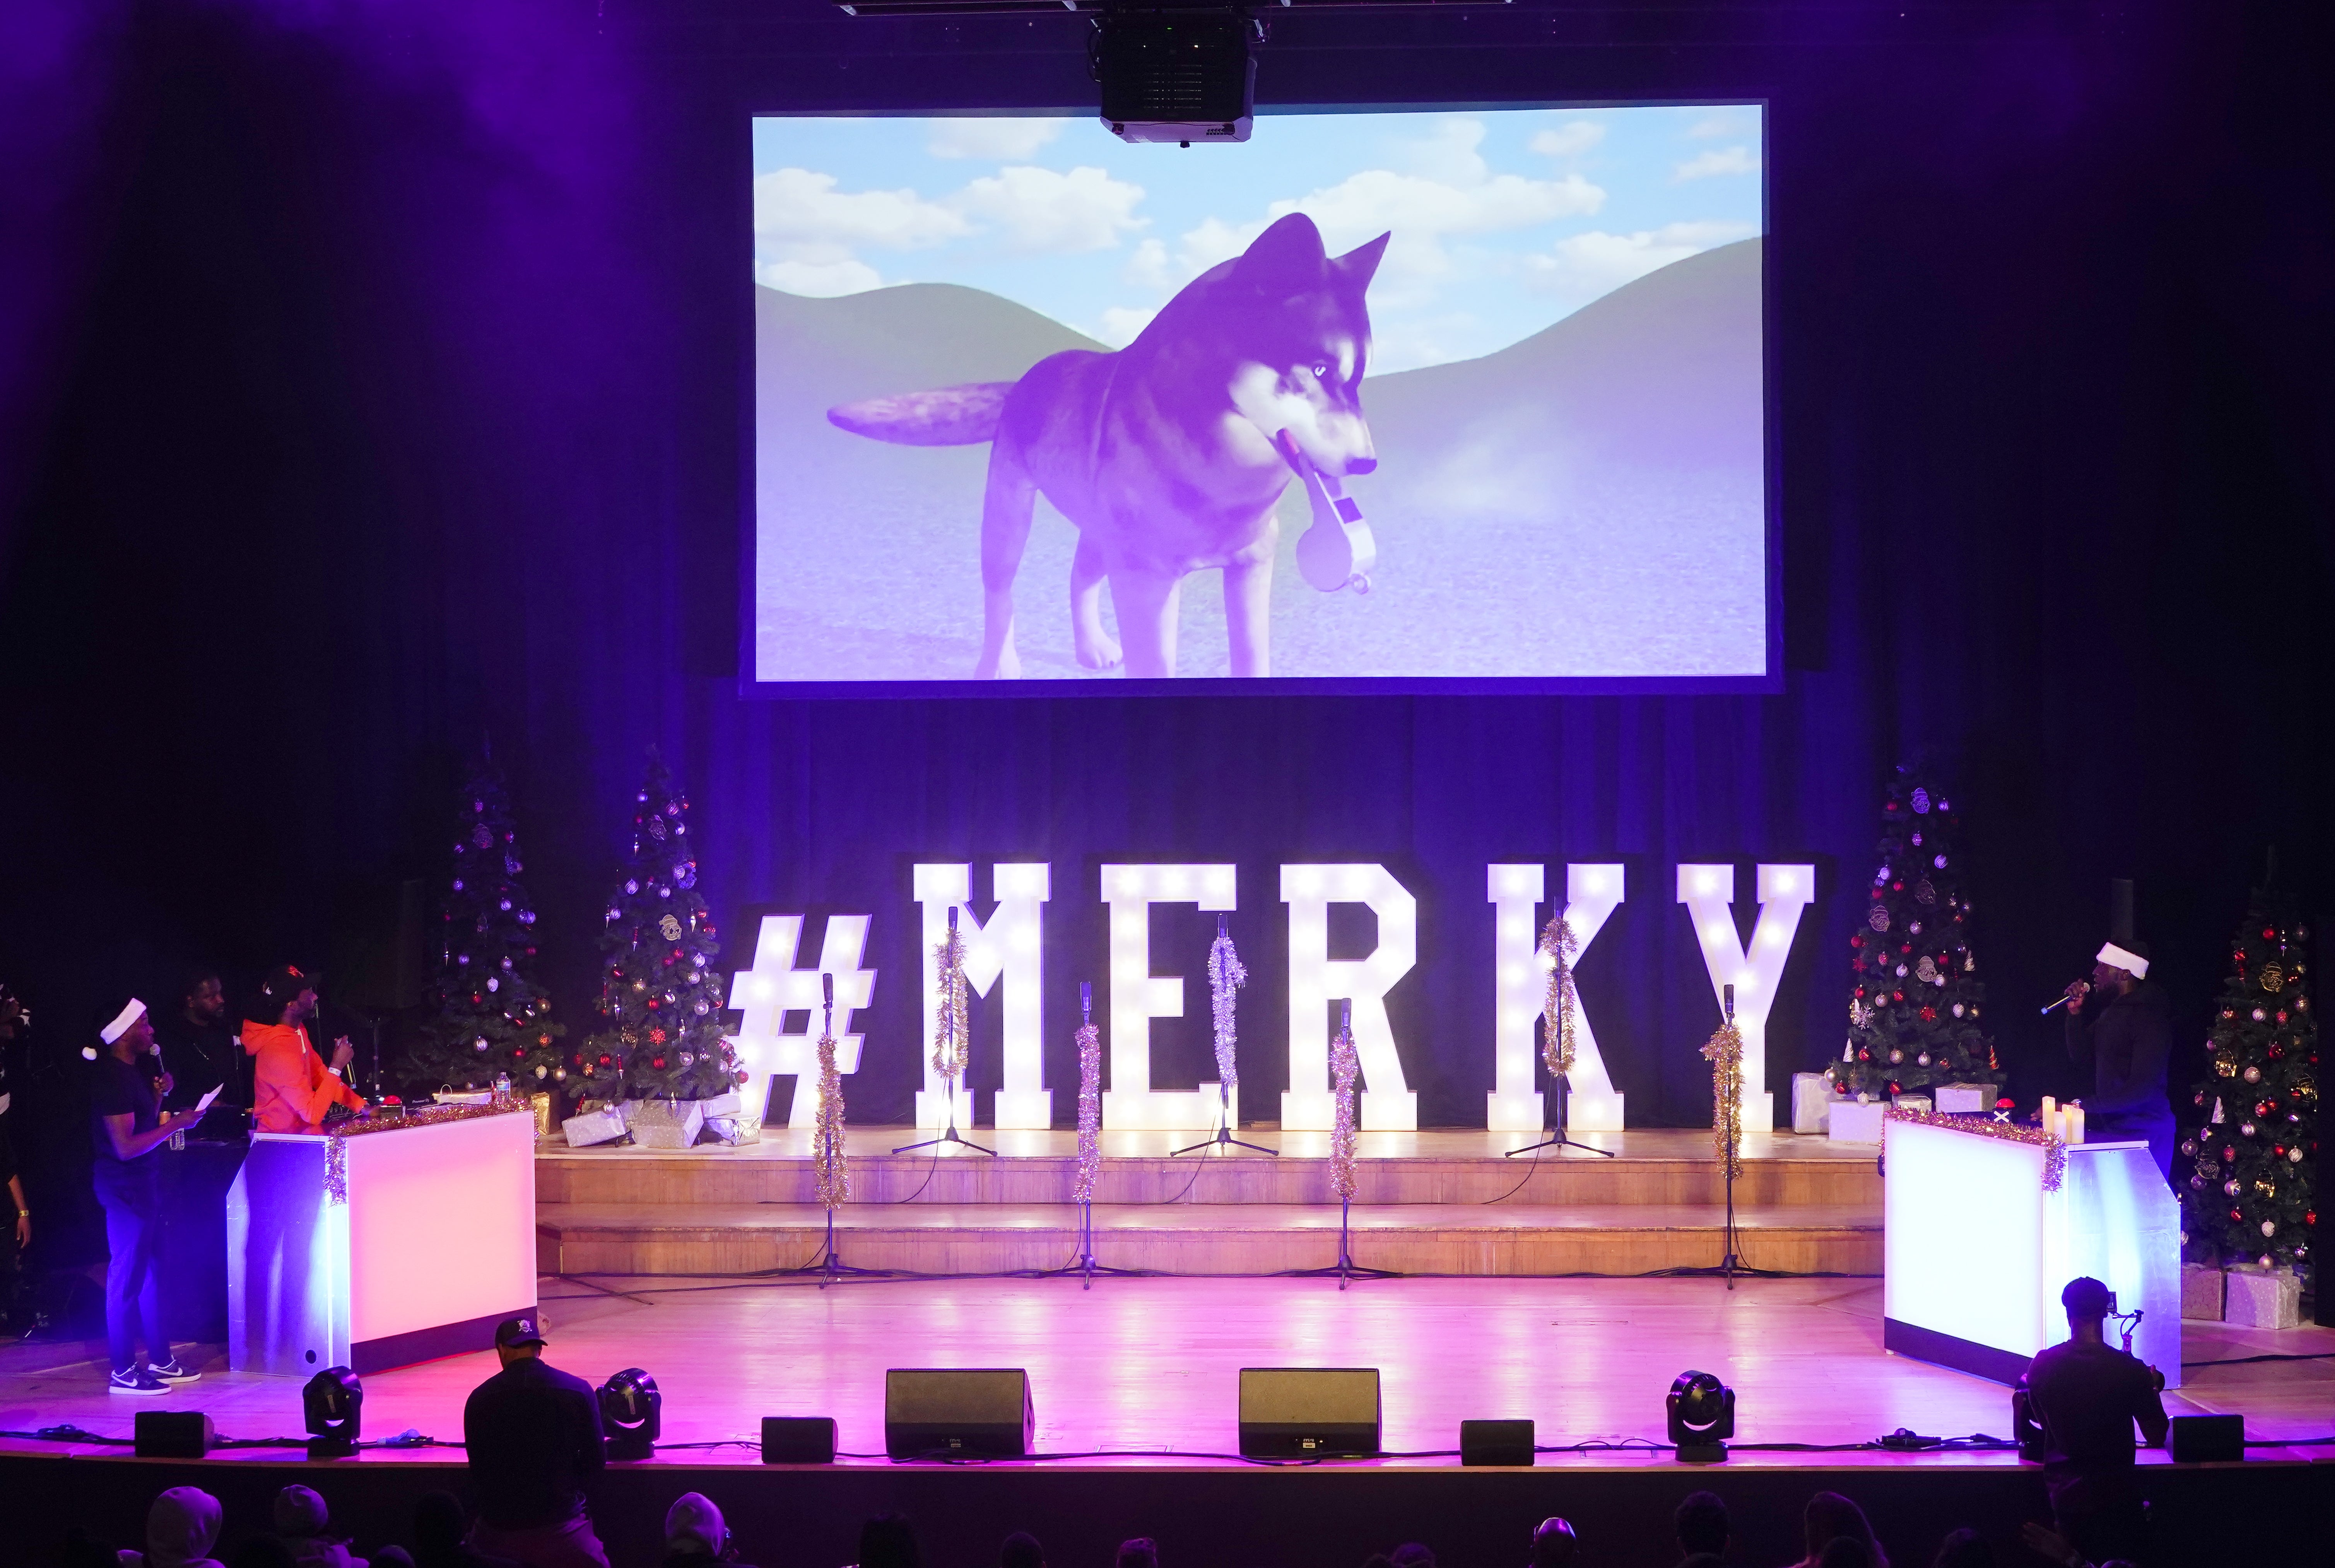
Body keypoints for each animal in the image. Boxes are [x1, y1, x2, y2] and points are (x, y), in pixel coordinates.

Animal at [831, 211, 1373, 676]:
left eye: (1357, 379)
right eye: (1319, 370)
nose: (1367, 464)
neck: (1223, 486)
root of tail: (1026, 379)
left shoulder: (1251, 566)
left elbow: (1252, 656)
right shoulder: (1145, 579)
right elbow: (1154, 664)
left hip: (1096, 531)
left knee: (1078, 577)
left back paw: (1091, 648)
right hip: (1009, 517)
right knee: (1000, 593)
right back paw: (998, 665)